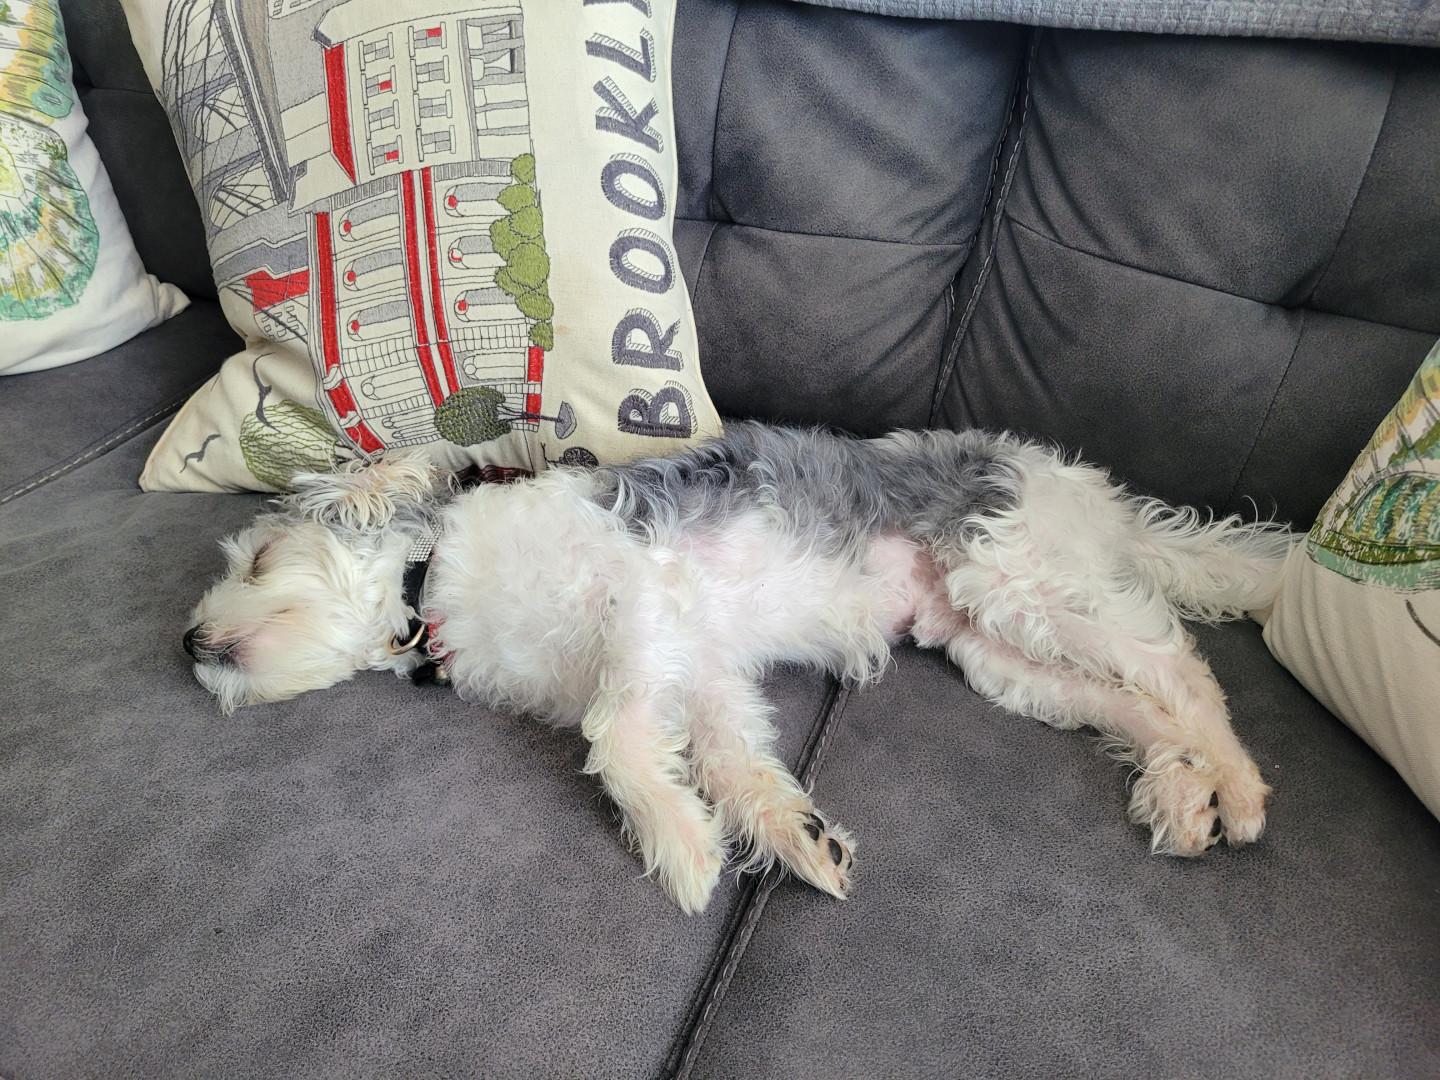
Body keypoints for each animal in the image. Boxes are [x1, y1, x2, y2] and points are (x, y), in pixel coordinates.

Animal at [184, 422, 1294, 913]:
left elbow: (616, 742)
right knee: (1132, 700)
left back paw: (1234, 788)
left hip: (1022, 575)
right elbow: (731, 759)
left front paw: (680, 847)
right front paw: (794, 836)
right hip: (996, 649)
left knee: (1182, 667)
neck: (442, 584)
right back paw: (1179, 793)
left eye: (260, 560)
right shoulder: (702, 666)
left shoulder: (641, 610)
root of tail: (1084, 490)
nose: (186, 644)